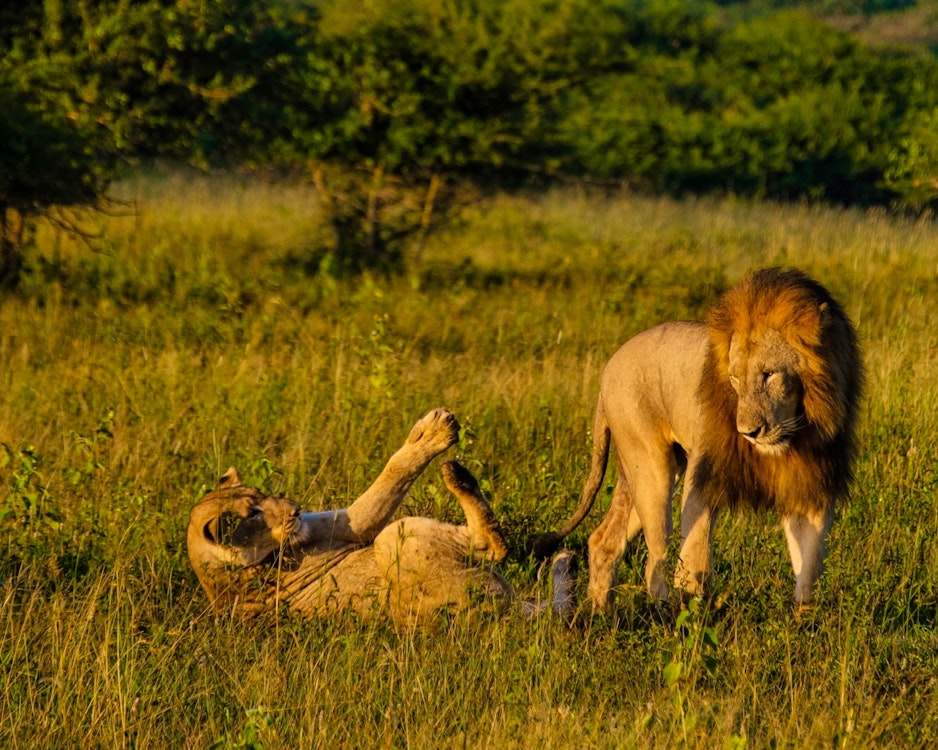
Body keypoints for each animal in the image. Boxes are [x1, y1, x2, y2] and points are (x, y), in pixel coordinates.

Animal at [188, 409, 574, 624]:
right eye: (252, 514)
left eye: (260, 496)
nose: (296, 509)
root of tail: (499, 619)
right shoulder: (354, 523)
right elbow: (393, 472)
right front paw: (433, 432)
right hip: (397, 537)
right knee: (493, 546)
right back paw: (457, 474)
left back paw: (565, 561)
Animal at [533, 267, 862, 610]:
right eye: (735, 379)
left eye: (769, 374)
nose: (748, 433)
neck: (794, 434)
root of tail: (608, 368)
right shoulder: (705, 475)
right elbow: (695, 556)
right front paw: (695, 610)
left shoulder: (808, 481)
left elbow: (809, 564)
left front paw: (804, 615)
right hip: (651, 467)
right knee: (656, 559)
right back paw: (660, 611)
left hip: (637, 471)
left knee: (603, 540)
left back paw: (600, 611)